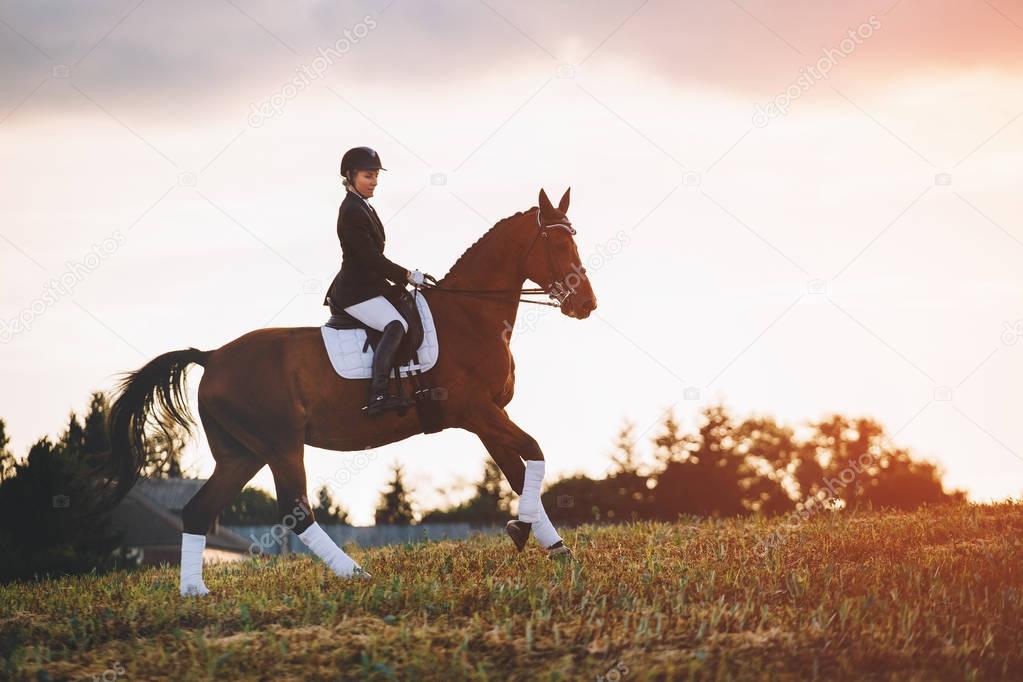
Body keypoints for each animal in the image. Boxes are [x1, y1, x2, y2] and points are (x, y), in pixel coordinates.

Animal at [104, 187, 597, 593]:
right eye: (557, 243)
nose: (586, 303)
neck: (470, 314)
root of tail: (212, 356)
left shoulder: (486, 417)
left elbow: (520, 471)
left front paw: (555, 548)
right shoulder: (477, 411)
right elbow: (535, 451)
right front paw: (524, 531)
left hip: (242, 454)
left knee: (199, 512)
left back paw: (195, 592)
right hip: (280, 445)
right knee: (297, 511)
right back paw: (356, 574)